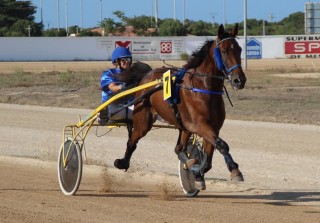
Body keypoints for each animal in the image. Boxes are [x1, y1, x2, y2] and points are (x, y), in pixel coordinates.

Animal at [115, 24, 248, 187]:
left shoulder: (213, 126)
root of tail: (147, 76)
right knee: (132, 141)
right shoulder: (199, 125)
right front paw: (235, 170)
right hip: (143, 120)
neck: (204, 88)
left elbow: (209, 157)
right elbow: (222, 145)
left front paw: (198, 173)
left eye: (239, 49)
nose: (239, 80)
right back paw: (122, 162)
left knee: (179, 148)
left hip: (184, 127)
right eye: (223, 51)